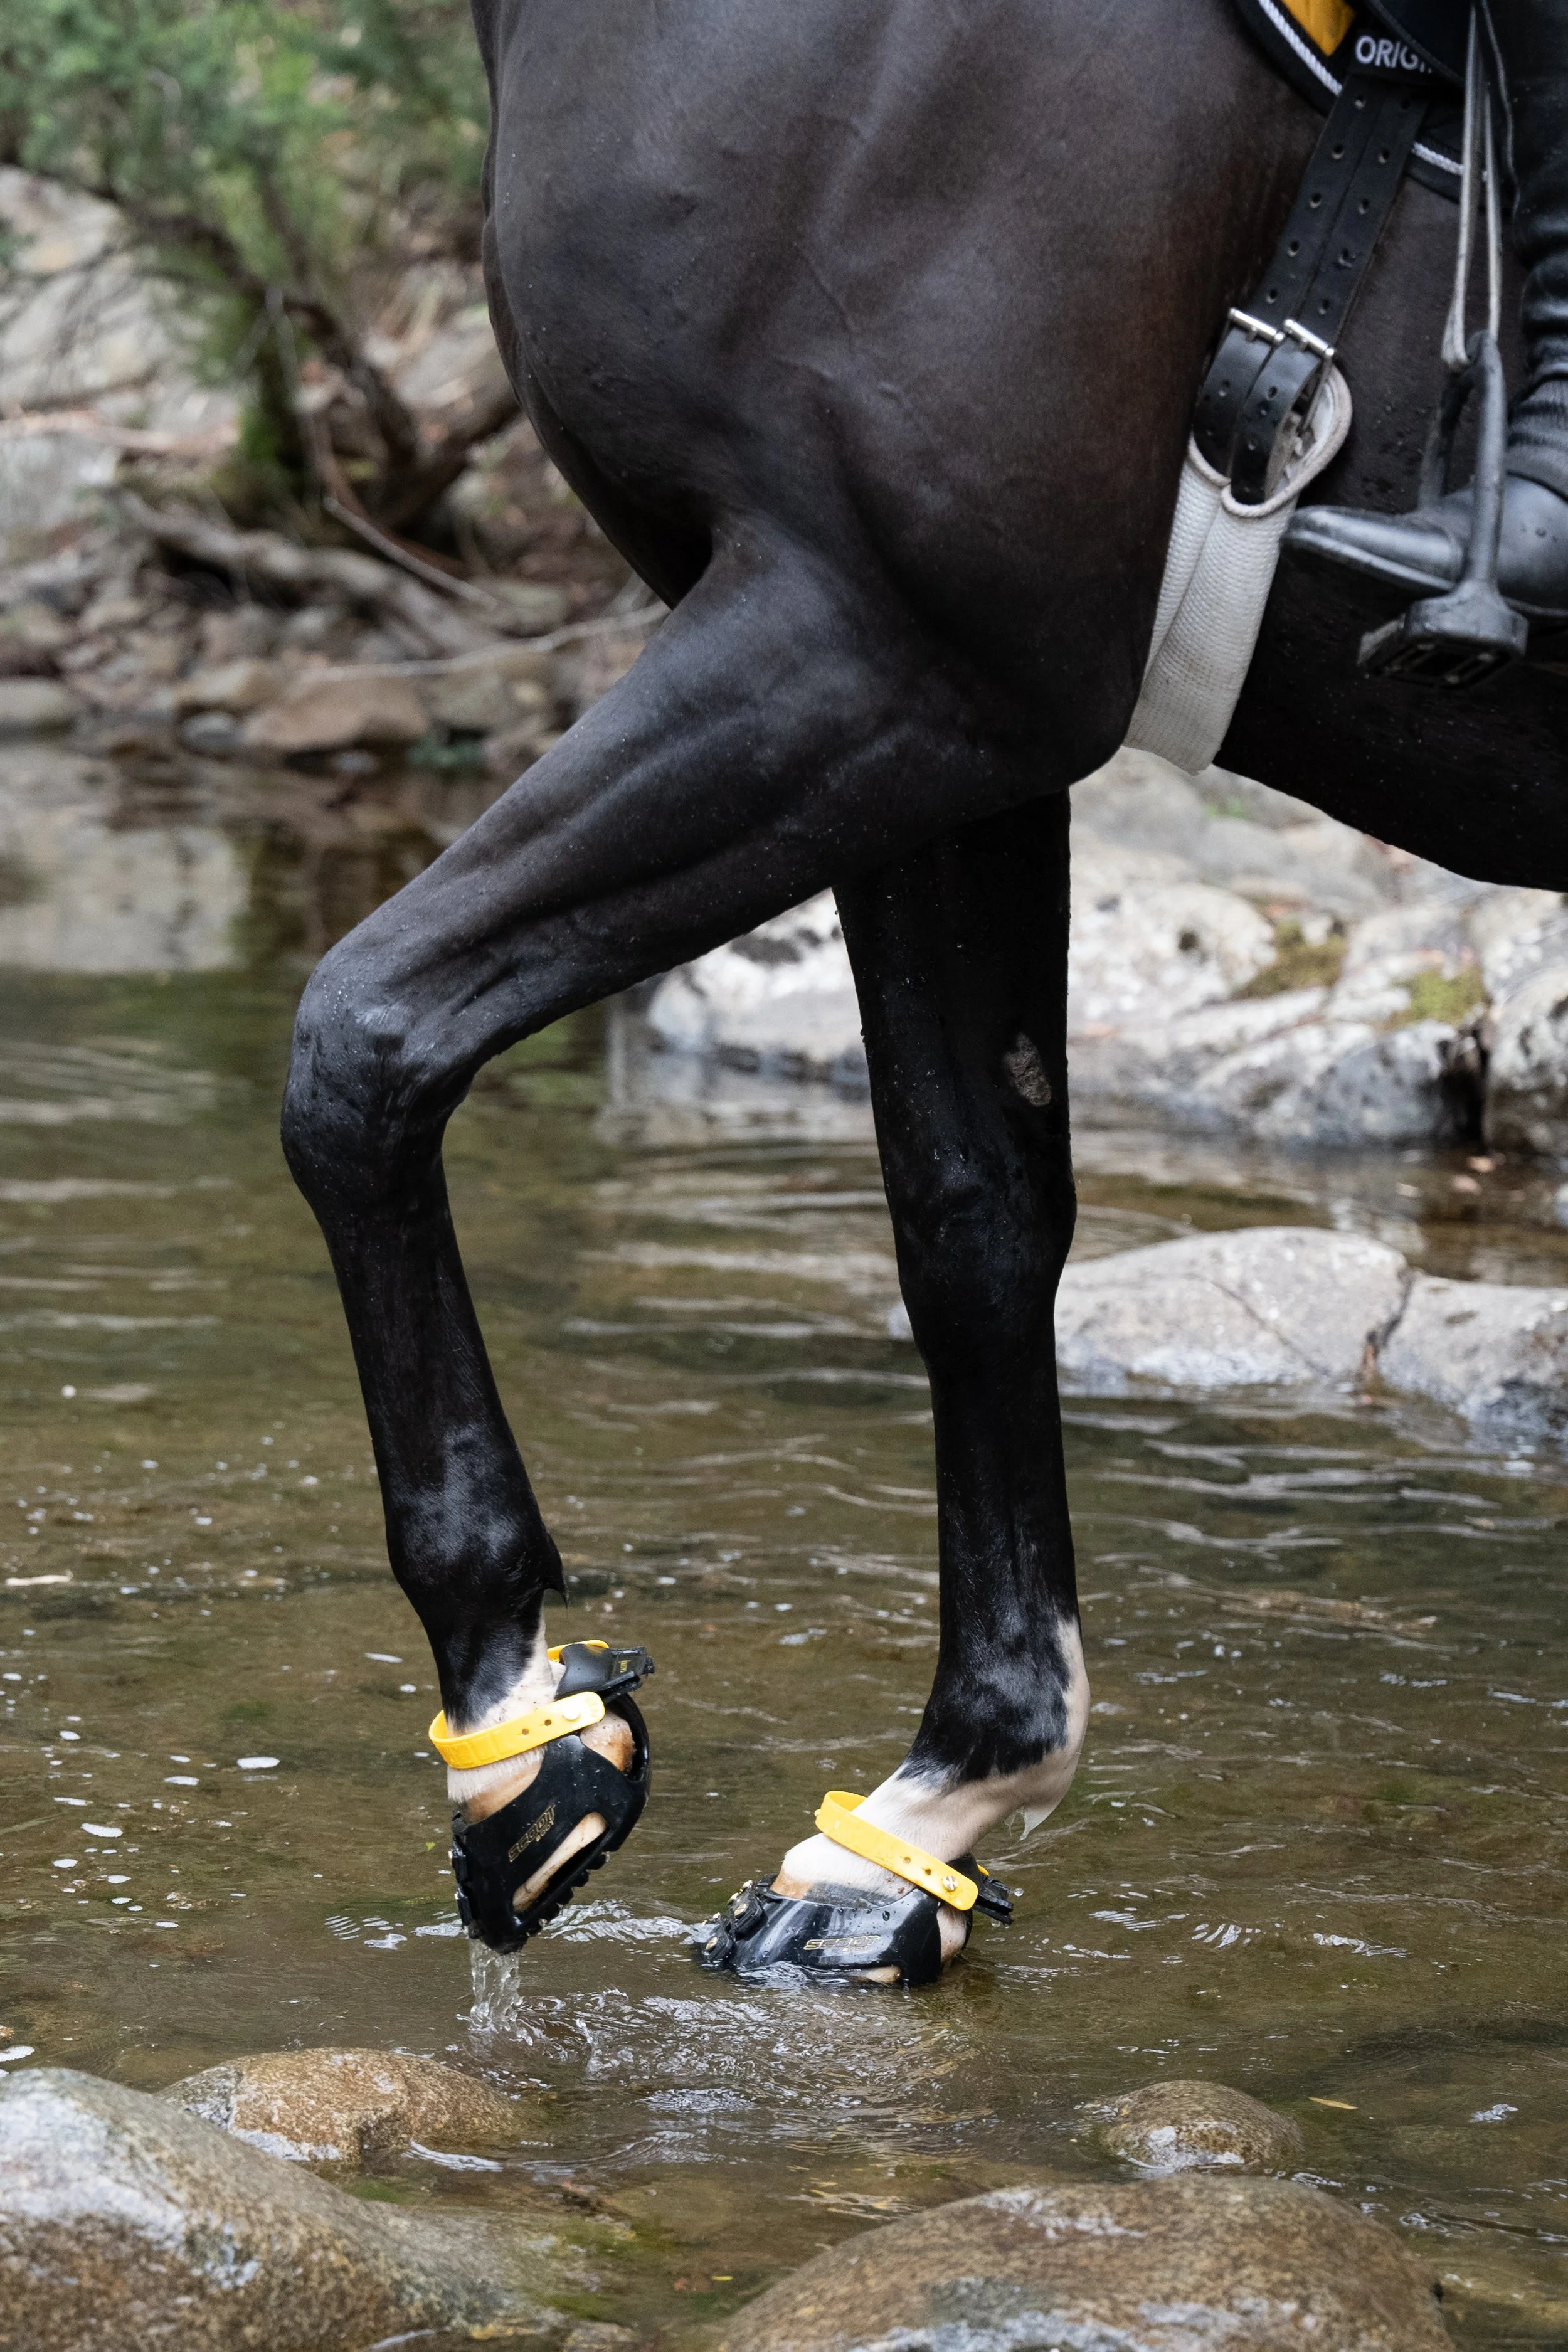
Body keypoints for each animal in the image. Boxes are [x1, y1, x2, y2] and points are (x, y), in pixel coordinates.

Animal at [280, 0, 1568, 1978]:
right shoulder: (941, 726)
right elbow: (973, 1217)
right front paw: (932, 1806)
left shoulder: (868, 645)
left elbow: (365, 1042)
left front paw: (515, 1729)